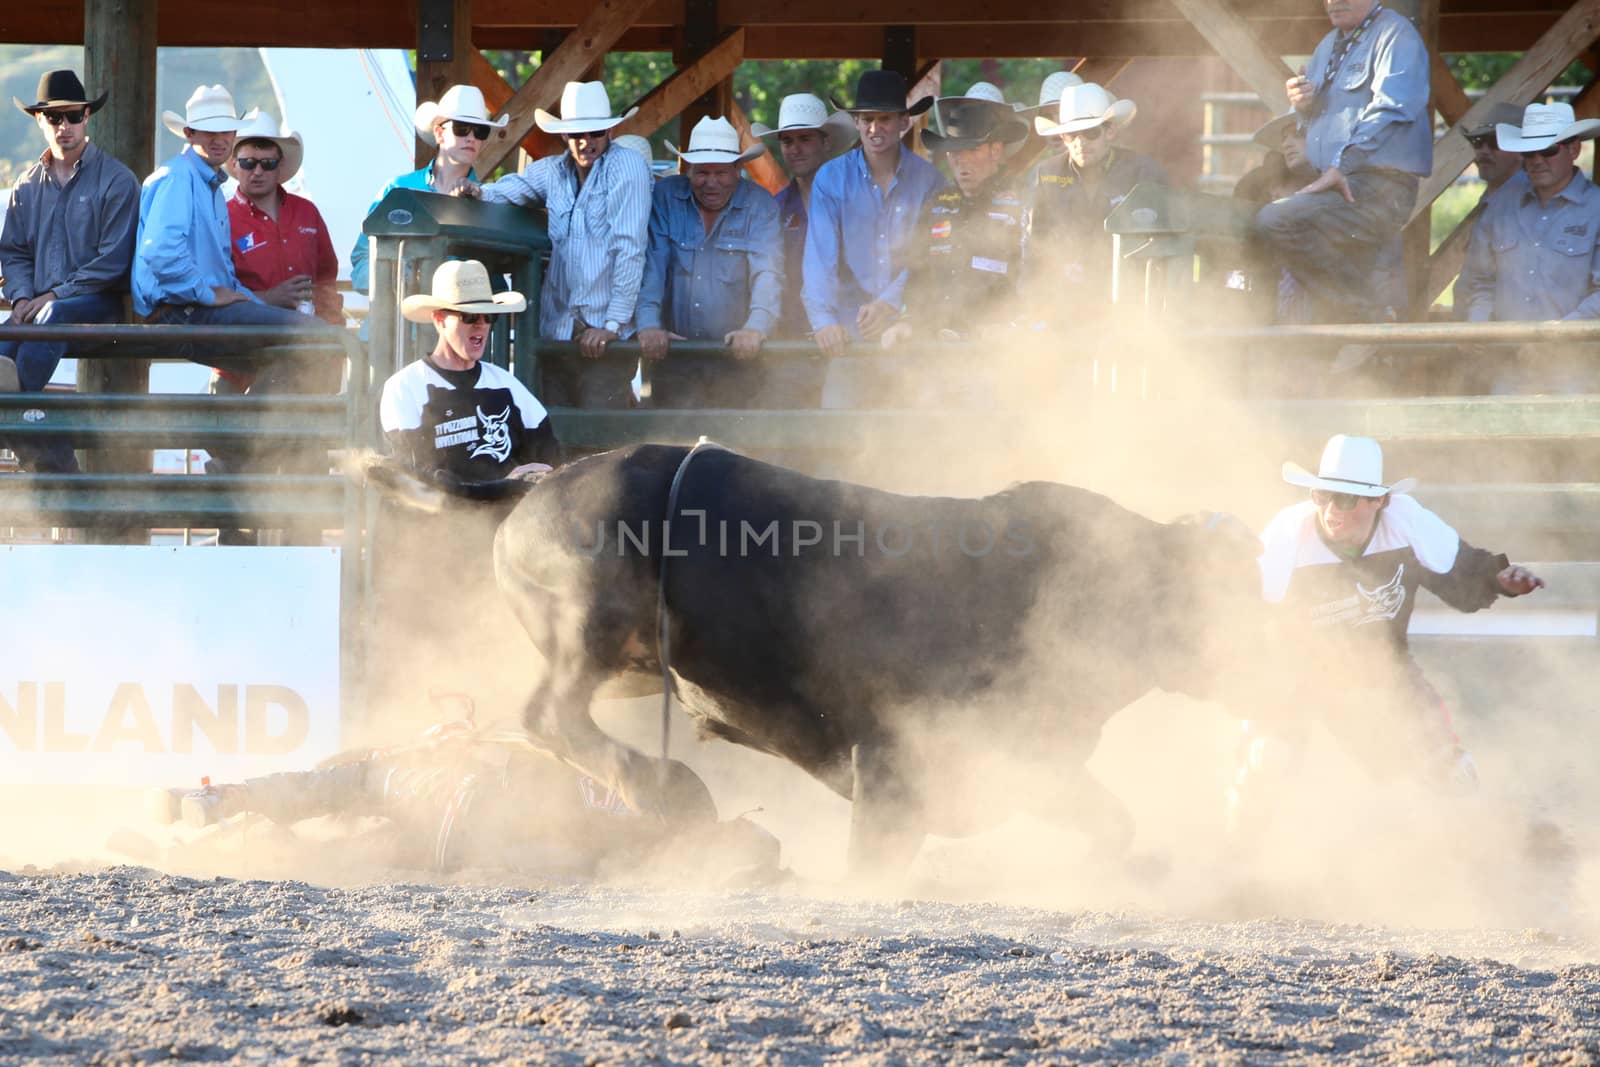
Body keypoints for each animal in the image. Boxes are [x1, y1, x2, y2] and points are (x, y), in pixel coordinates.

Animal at [363, 441, 1273, 876]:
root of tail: (538, 484)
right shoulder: (893, 765)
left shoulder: (1024, 760)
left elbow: (1111, 820)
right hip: (593, 619)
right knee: (548, 711)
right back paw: (666, 790)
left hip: (629, 664)